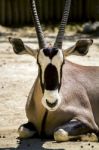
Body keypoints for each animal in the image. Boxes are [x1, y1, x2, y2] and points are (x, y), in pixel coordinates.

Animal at [8, 0, 99, 142]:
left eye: (63, 63)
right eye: (38, 63)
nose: (52, 102)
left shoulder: (87, 120)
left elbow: (59, 132)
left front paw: (91, 135)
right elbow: (22, 130)